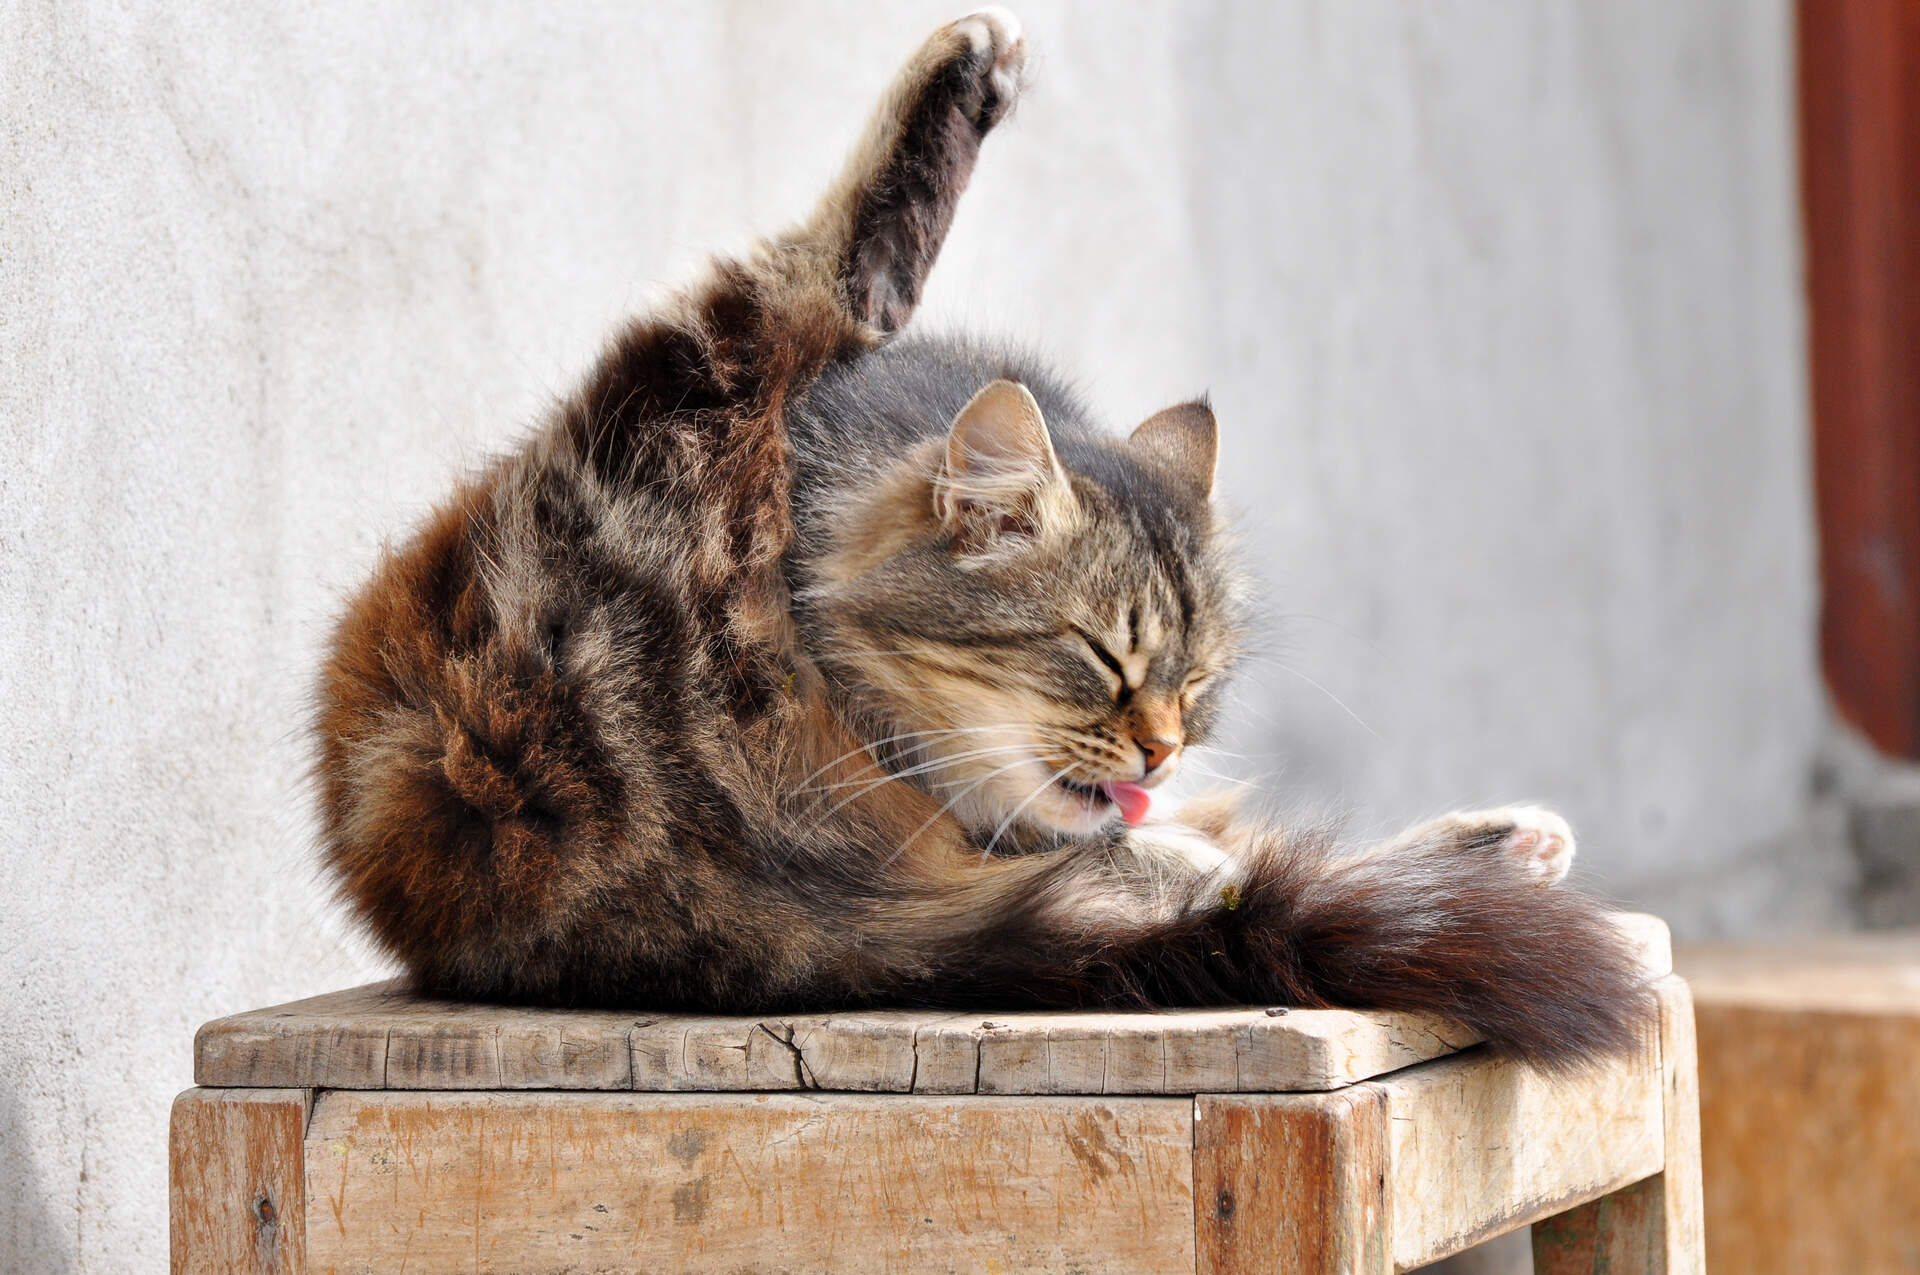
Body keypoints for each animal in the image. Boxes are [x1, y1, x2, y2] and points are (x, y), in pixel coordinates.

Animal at [314, 9, 1651, 1067]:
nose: (1162, 748)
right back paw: (964, 72)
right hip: (673, 402)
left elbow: (1172, 847)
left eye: (1196, 684)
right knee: (826, 284)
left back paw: (1491, 844)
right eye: (1104, 659)